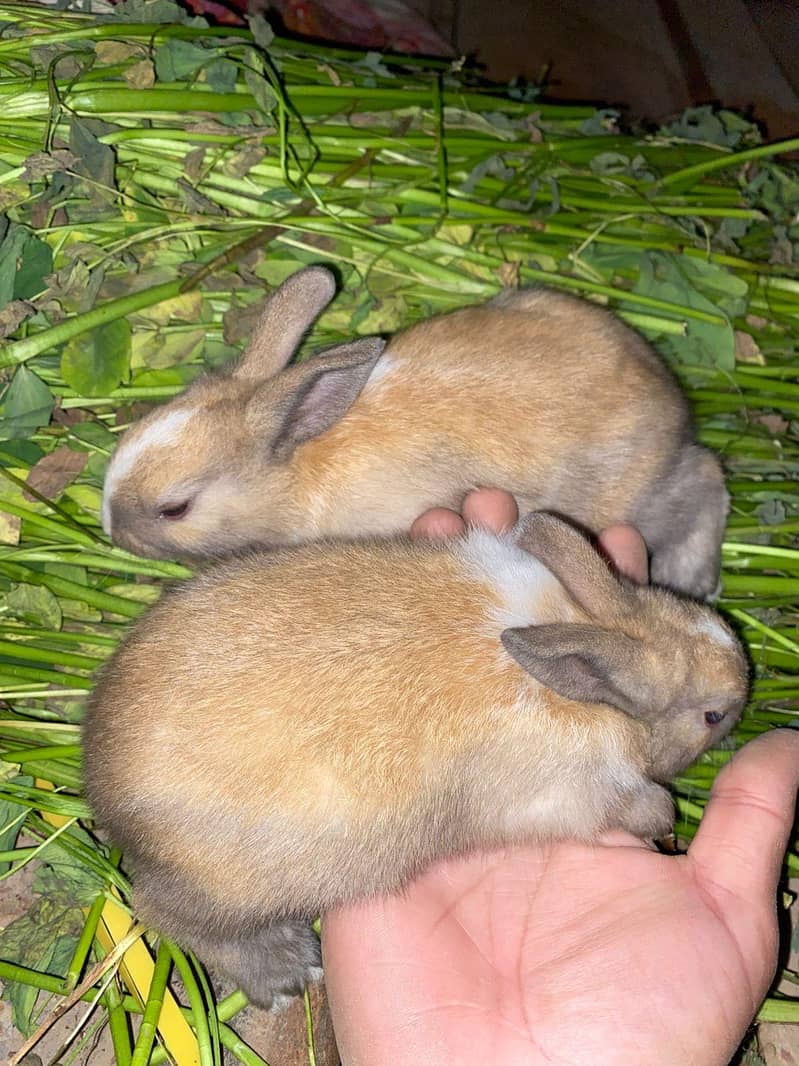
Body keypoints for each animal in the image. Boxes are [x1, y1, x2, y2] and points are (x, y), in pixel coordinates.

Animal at [82, 512, 748, 1008]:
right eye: (712, 716)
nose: (745, 686)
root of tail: (104, 791)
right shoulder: (574, 797)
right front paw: (662, 817)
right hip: (228, 888)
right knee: (164, 914)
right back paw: (286, 970)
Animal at [101, 266, 728, 599]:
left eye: (175, 509)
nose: (109, 529)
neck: (300, 469)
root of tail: (669, 400)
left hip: (637, 498)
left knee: (708, 480)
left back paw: (694, 578)